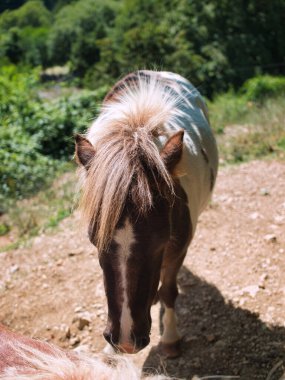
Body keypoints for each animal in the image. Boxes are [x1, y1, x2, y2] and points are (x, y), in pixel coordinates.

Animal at [75, 70, 217, 358]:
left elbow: (169, 291)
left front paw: (171, 339)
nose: (125, 341)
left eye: (160, 240)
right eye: (95, 241)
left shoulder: (177, 248)